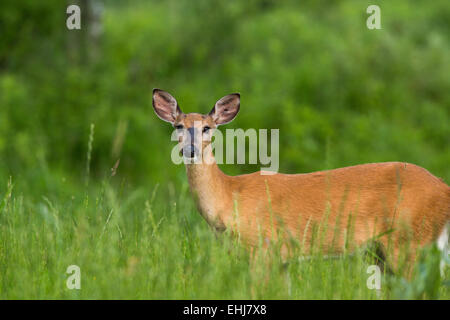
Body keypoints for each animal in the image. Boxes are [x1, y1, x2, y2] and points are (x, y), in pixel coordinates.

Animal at [152, 89, 450, 274]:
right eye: (178, 126)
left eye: (207, 127)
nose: (190, 150)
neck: (229, 196)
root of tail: (443, 187)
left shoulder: (263, 249)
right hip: (384, 253)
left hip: (410, 241)